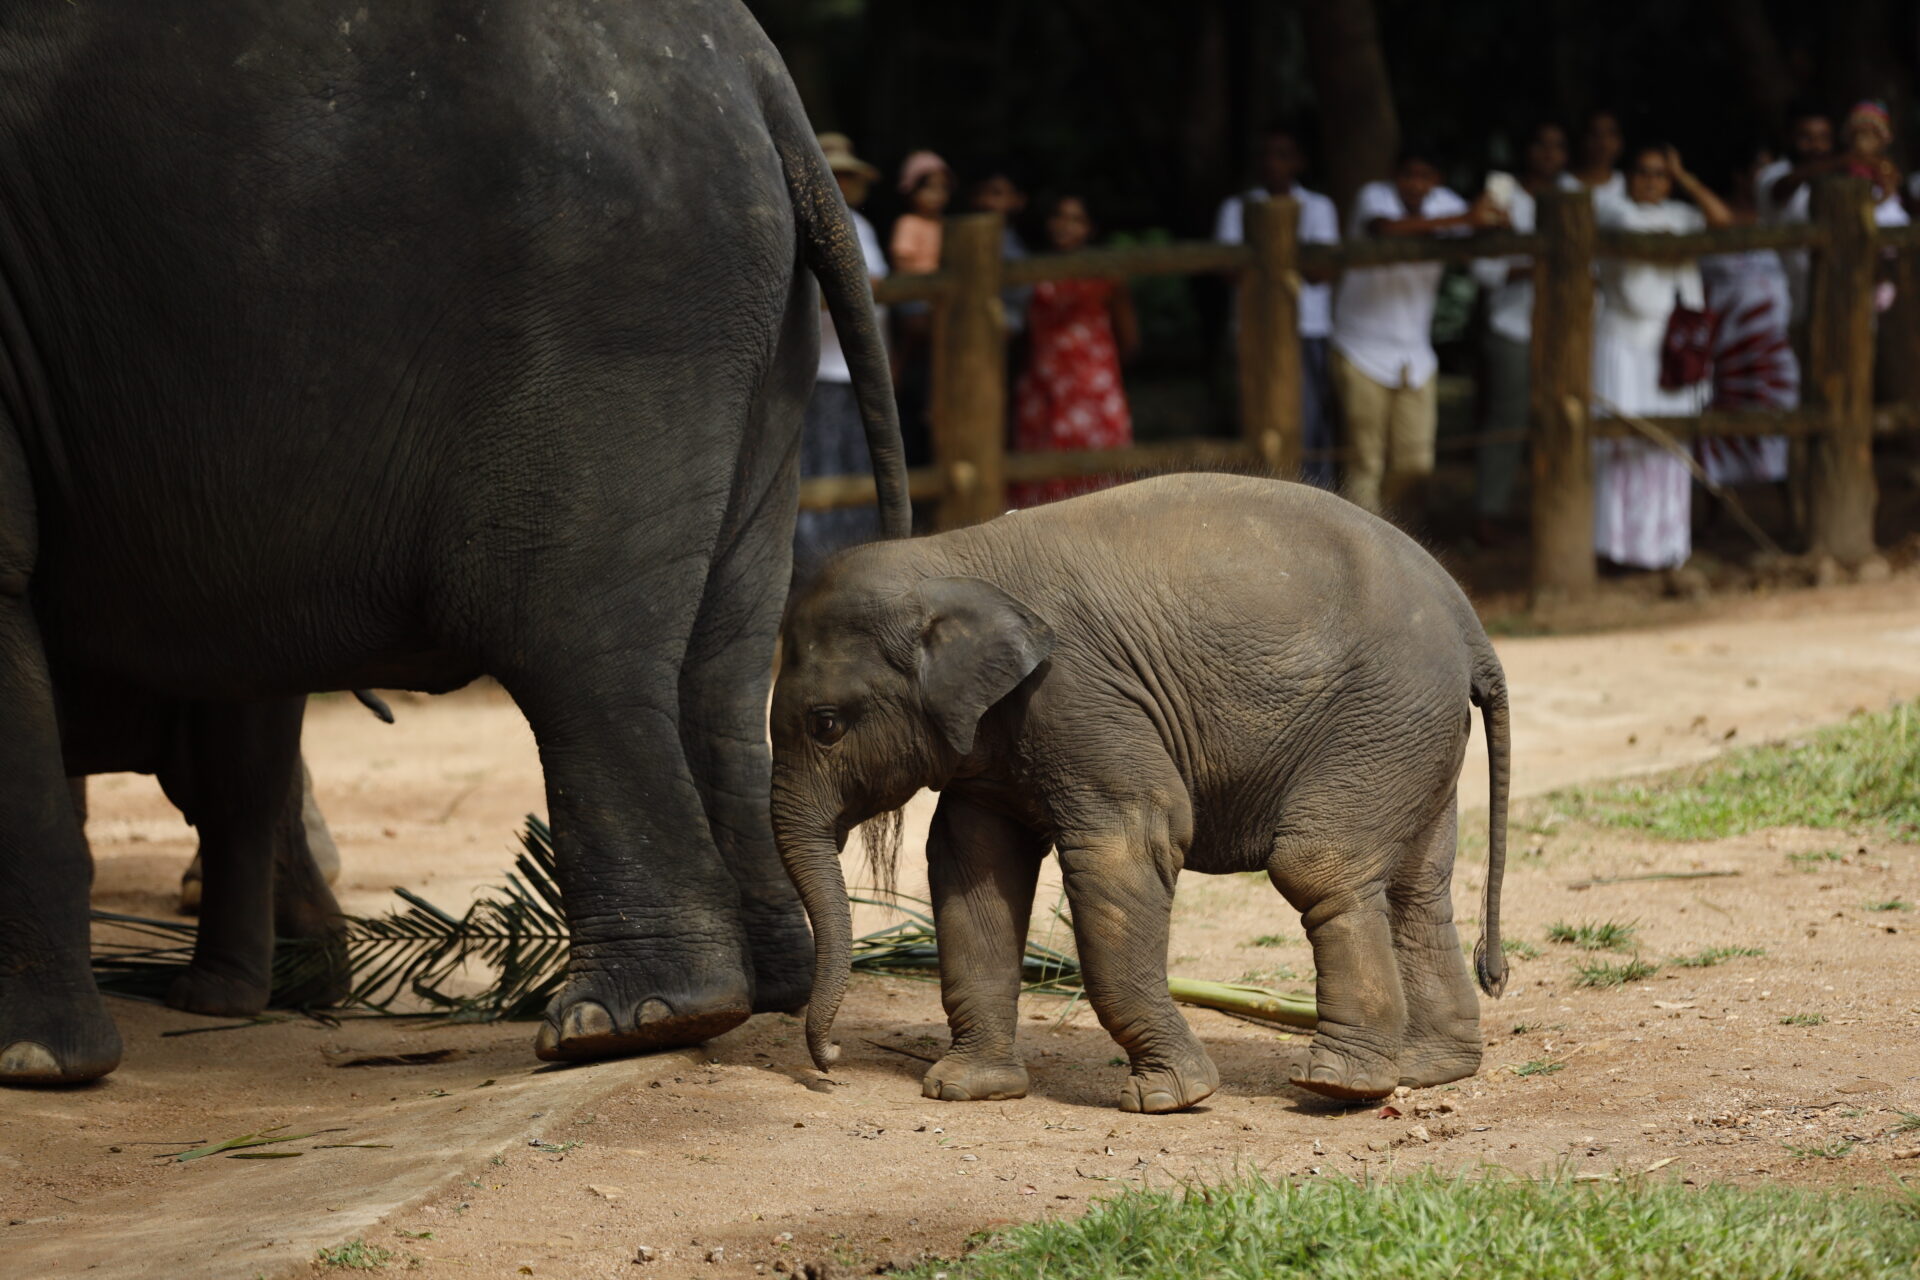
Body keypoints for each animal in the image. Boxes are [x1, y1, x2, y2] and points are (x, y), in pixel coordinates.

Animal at [0, 0, 906, 1090]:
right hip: (763, 346)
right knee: (722, 668)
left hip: (618, 312)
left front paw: (32, 1062)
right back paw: (767, 988)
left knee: (576, 655)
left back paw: (626, 1023)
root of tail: (764, 80)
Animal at [771, 470, 1505, 1113]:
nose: (832, 1060)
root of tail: (1468, 620)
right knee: (1418, 887)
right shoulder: (992, 743)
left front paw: (1171, 1099)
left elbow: (1130, 843)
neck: (948, 554)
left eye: (826, 725)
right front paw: (966, 1090)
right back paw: (1428, 1070)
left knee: (1319, 866)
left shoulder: (1081, 694)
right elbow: (971, 866)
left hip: (1385, 714)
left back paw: (1340, 1087)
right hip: (1417, 736)